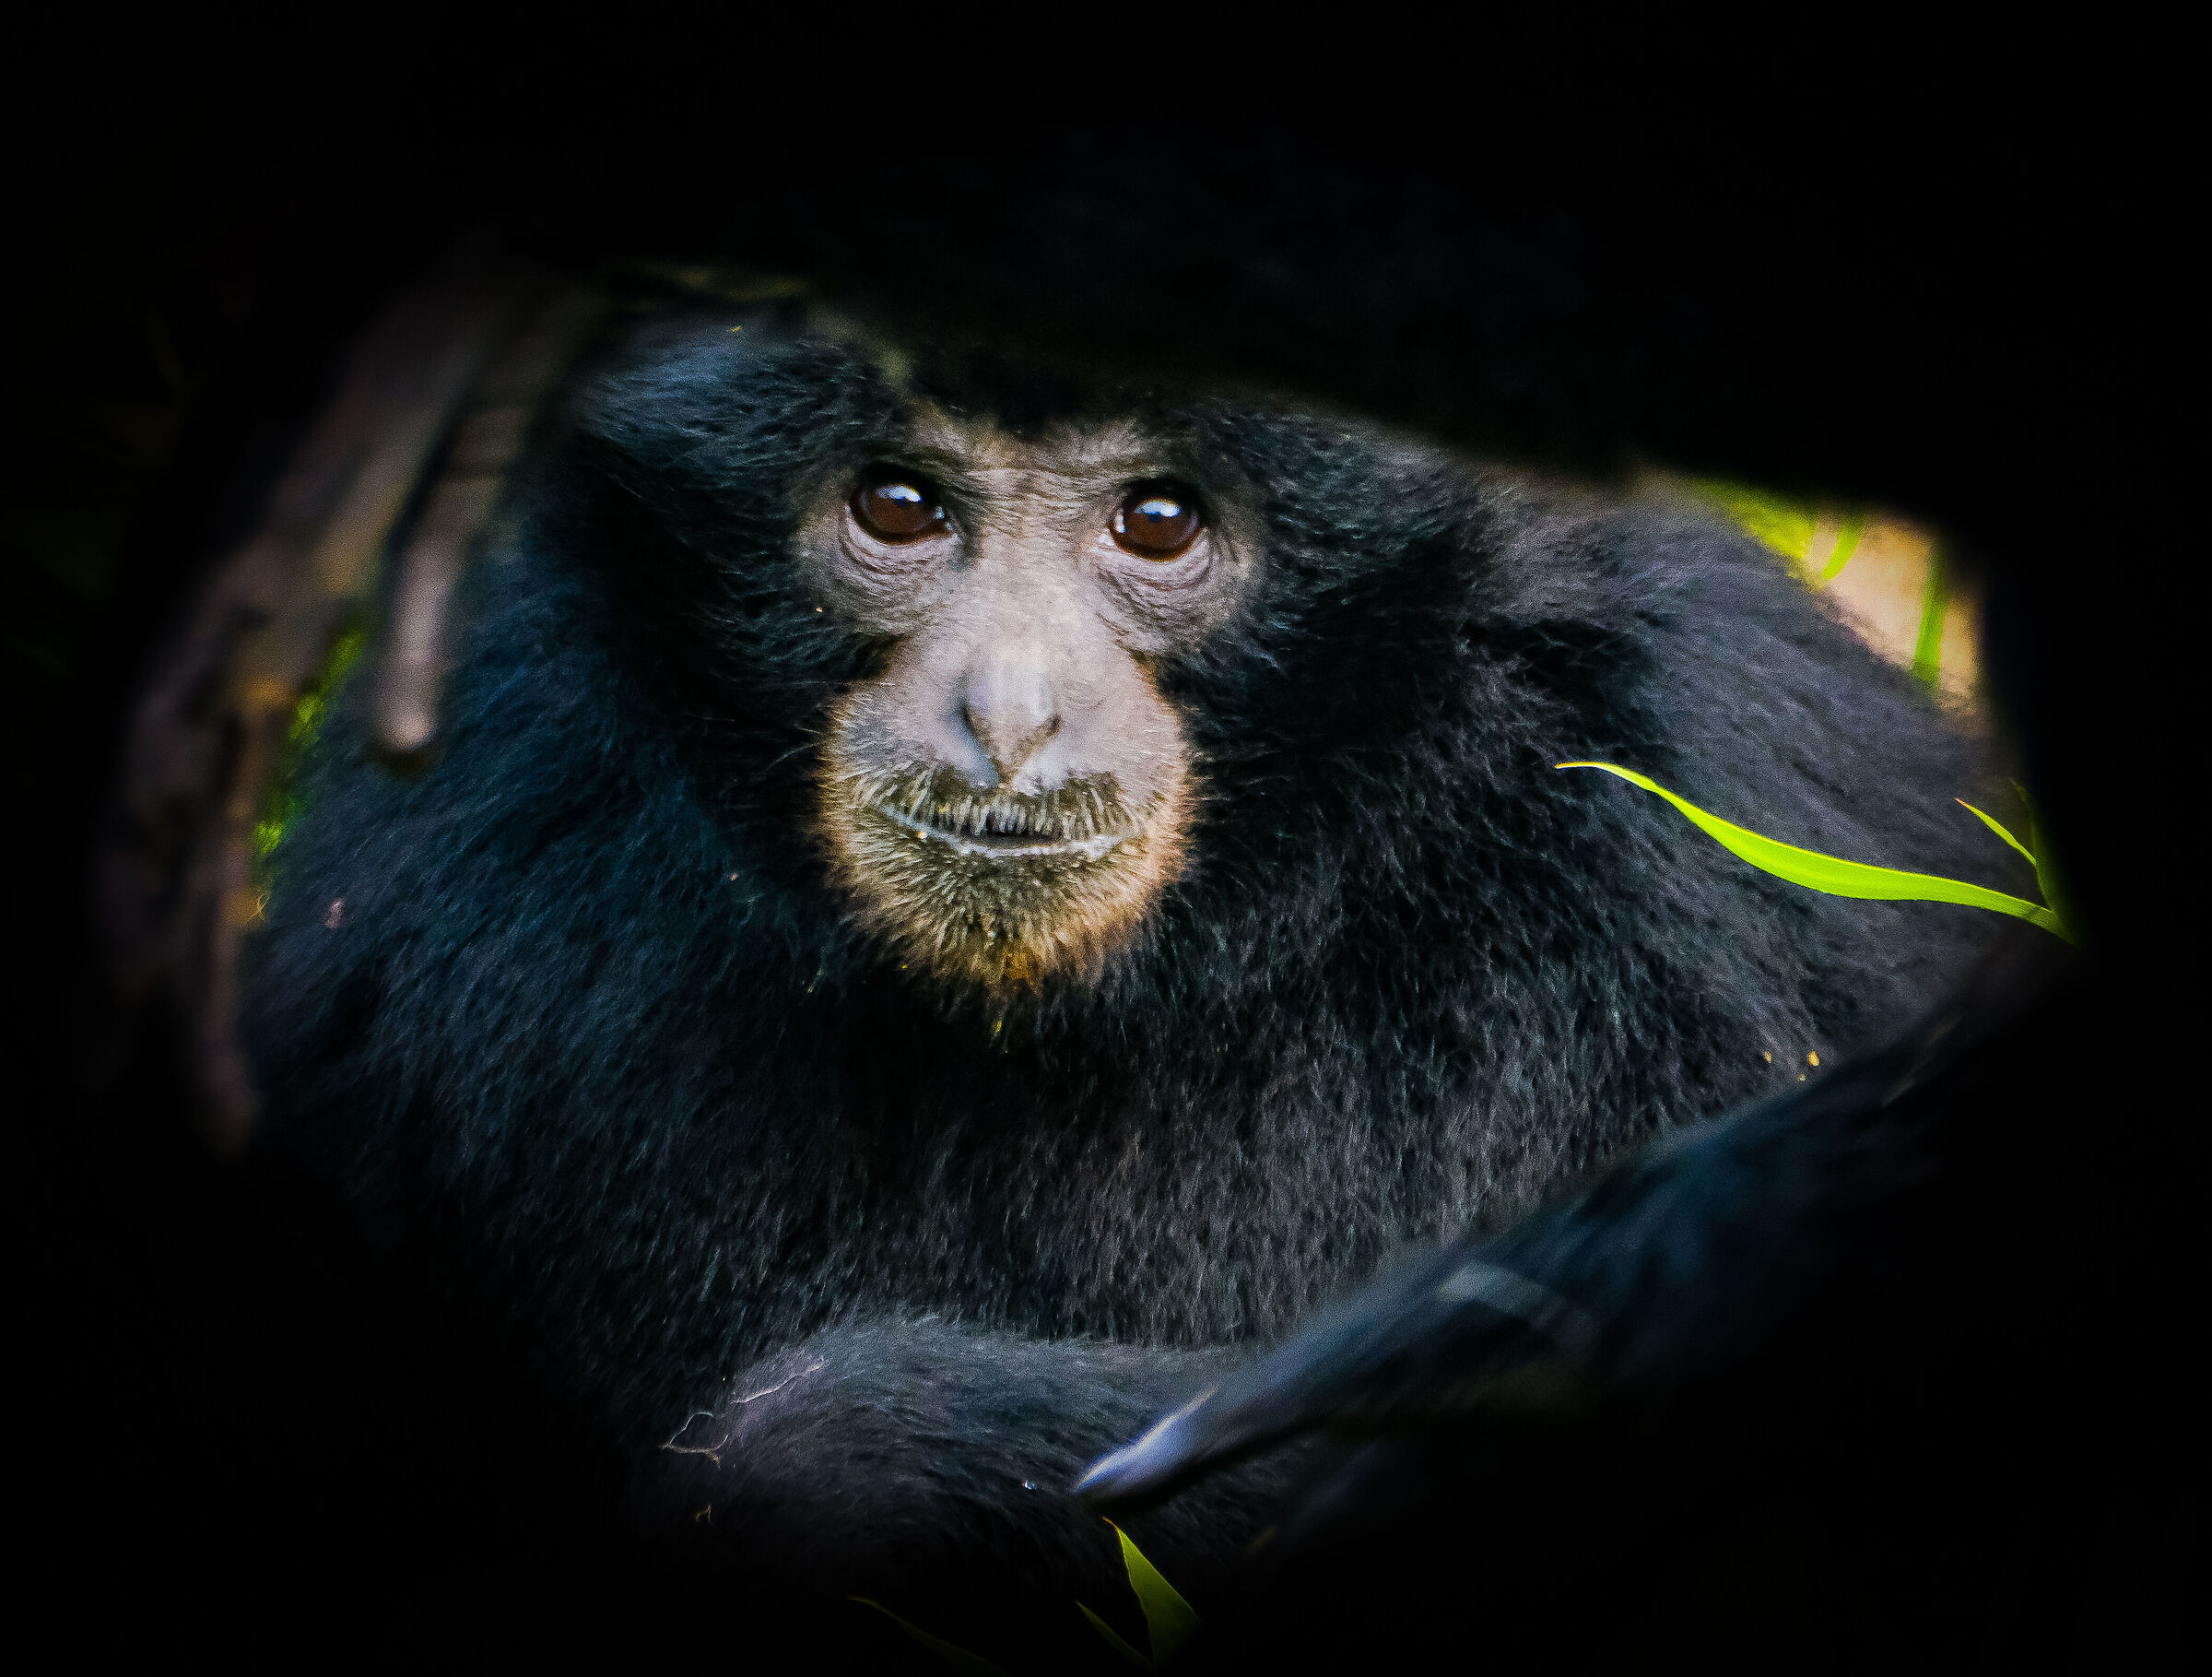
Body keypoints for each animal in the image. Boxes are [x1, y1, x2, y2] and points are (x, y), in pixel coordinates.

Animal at [238, 296, 2028, 1662]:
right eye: (898, 507)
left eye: (1157, 522)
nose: (1009, 711)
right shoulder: (485, 771)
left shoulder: (1713, 797)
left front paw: (838, 1457)